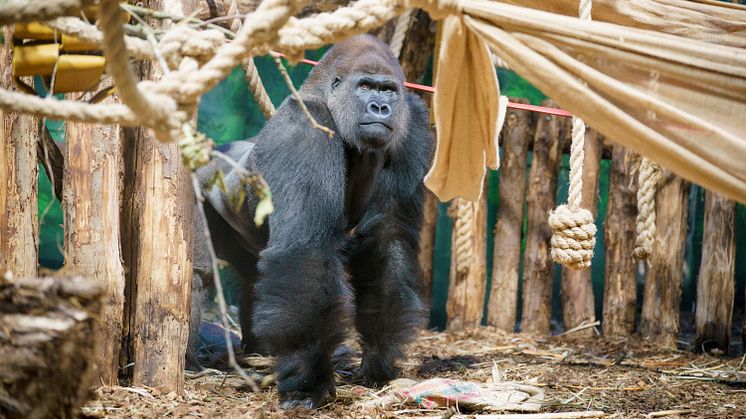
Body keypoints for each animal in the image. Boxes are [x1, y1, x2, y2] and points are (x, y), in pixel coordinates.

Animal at [192, 34, 434, 408]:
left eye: (389, 91)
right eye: (366, 87)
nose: (381, 108)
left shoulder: (413, 122)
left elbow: (387, 234)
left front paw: (379, 356)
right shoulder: (305, 126)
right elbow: (305, 247)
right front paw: (310, 380)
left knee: (253, 278)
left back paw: (259, 352)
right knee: (198, 273)